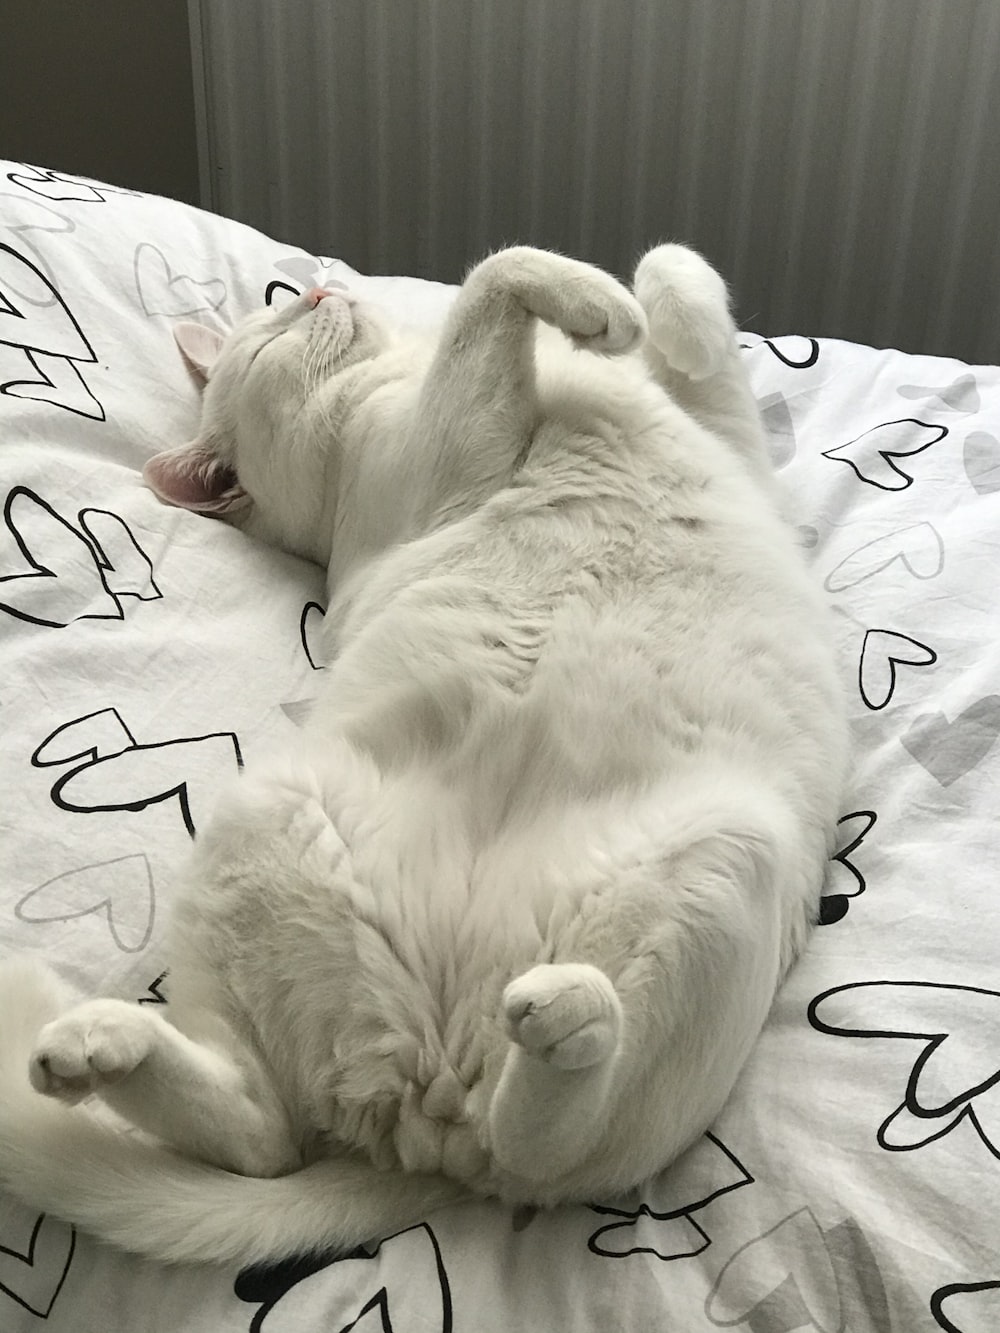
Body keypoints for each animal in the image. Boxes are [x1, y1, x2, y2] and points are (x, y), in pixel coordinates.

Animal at [0, 245, 848, 1263]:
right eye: (277, 330)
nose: (318, 287)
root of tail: (421, 1119)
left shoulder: (727, 433)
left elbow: (679, 281)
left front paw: (647, 319)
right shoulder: (450, 450)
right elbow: (499, 276)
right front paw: (599, 309)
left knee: (273, 1136)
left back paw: (94, 1047)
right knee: (511, 1151)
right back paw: (570, 1023)